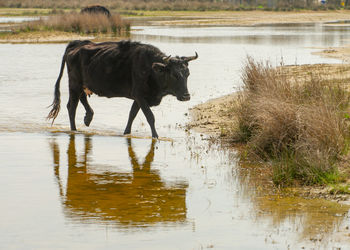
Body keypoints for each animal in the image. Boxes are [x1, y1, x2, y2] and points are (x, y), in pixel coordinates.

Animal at [47, 41, 198, 139]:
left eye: (187, 73)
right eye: (174, 75)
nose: (186, 96)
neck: (151, 69)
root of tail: (75, 45)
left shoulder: (137, 98)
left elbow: (132, 114)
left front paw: (126, 133)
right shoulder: (140, 96)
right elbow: (150, 117)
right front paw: (155, 136)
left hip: (82, 85)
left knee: (81, 99)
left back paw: (88, 117)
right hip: (74, 84)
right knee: (72, 107)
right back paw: (74, 130)